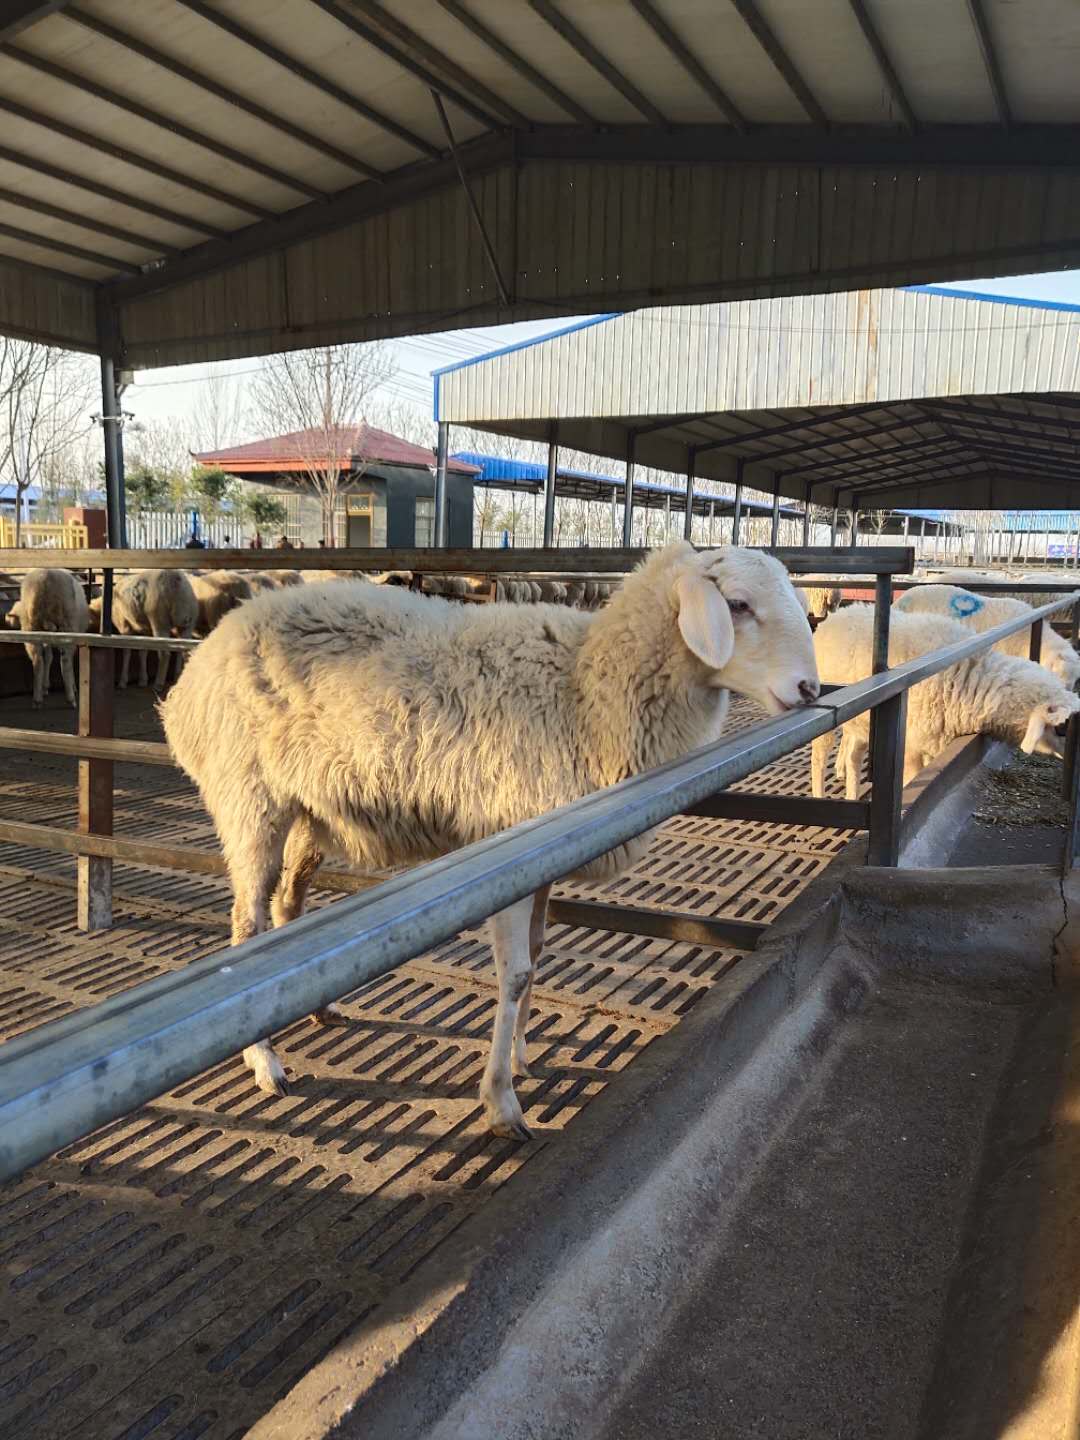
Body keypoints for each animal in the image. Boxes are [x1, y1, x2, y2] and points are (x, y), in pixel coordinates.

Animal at [14, 570, 88, 711]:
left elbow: (48, 658)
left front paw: (45, 686)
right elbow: (68, 661)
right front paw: (73, 686)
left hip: (30, 628)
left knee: (38, 661)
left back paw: (37, 699)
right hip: (66, 624)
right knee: (65, 662)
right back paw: (71, 699)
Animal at [162, 541, 817, 1134]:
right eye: (737, 604)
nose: (811, 689)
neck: (586, 691)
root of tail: (193, 674)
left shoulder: (547, 853)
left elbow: (540, 954)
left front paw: (523, 1055)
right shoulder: (506, 849)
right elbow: (516, 973)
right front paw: (501, 1101)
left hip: (310, 808)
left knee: (287, 907)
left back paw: (319, 1009)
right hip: (249, 798)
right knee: (247, 924)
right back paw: (264, 1063)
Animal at [812, 599, 1080, 800]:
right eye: (1061, 726)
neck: (972, 680)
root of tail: (839, 614)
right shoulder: (911, 749)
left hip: (862, 722)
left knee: (853, 757)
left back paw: (851, 793)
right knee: (819, 758)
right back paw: (819, 793)